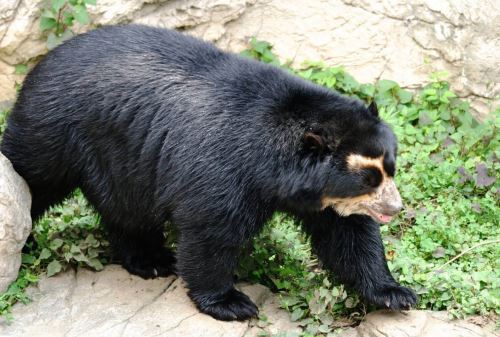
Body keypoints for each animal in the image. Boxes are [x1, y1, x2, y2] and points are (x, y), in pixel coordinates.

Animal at [0, 24, 418, 320]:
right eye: (367, 178)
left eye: (390, 169)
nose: (396, 208)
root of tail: (43, 62)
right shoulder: (224, 169)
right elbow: (210, 232)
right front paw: (231, 303)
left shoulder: (321, 199)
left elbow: (348, 236)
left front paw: (395, 293)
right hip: (55, 131)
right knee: (33, 176)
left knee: (126, 212)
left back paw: (150, 259)